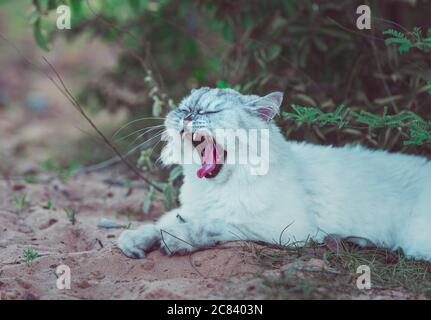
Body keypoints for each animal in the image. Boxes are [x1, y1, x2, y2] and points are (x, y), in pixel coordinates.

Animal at [117, 87, 431, 260]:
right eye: (184, 109)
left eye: (210, 112)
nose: (188, 116)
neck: (219, 186)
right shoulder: (190, 208)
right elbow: (161, 220)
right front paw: (134, 240)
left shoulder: (284, 229)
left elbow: (215, 224)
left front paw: (175, 239)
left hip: (416, 241)